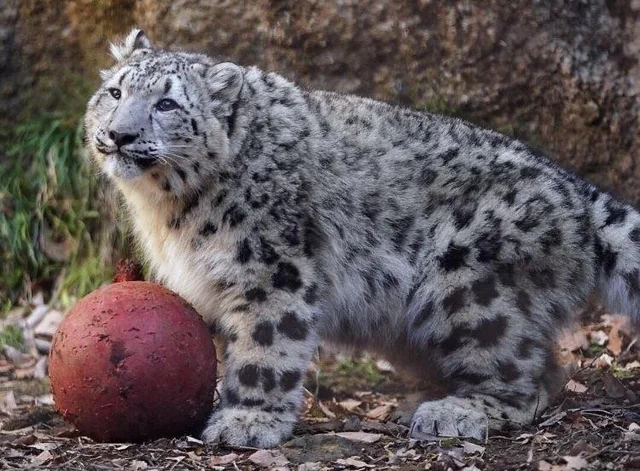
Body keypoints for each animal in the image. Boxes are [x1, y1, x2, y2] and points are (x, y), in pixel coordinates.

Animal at [85, 29, 640, 448]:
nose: (120, 134)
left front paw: (247, 420)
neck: (168, 213)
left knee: (518, 374)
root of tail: (576, 191)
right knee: (546, 368)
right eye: (116, 92)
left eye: (167, 103)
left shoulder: (271, 271)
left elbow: (266, 344)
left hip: (470, 288)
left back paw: (453, 412)